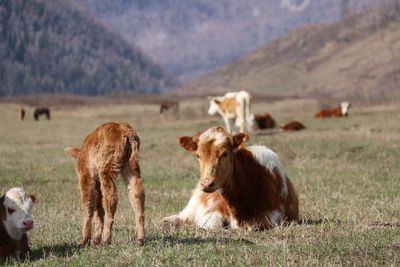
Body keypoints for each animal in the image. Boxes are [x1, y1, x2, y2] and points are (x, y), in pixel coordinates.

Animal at [162, 126, 296, 231]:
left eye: (225, 154)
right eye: (198, 155)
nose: (206, 184)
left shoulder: (273, 214)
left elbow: (254, 225)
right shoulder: (210, 211)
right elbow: (211, 223)